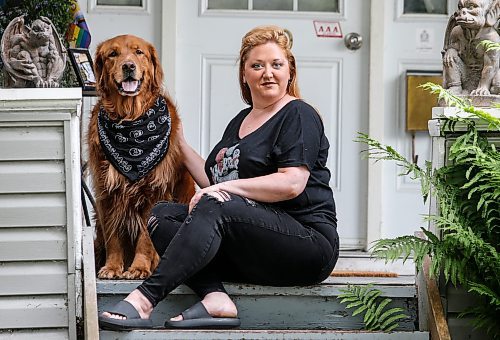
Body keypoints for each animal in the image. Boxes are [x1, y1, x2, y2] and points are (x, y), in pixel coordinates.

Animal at [88, 34, 193, 278]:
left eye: (139, 52)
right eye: (113, 54)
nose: (128, 66)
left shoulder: (154, 191)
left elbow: (145, 237)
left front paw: (139, 267)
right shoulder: (107, 192)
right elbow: (113, 236)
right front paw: (112, 267)